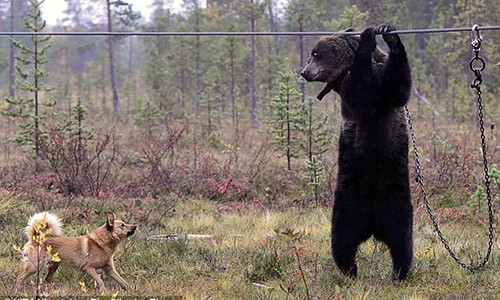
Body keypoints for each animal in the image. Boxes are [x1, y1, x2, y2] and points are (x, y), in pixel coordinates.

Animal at [300, 24, 414, 282]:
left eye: (315, 54)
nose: (303, 72)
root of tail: (373, 225)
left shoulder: (385, 83)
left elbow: (398, 88)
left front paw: (390, 36)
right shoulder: (347, 89)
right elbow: (360, 101)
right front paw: (367, 38)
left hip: (397, 199)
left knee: (402, 241)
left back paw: (400, 272)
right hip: (348, 201)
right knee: (342, 241)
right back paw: (350, 271)